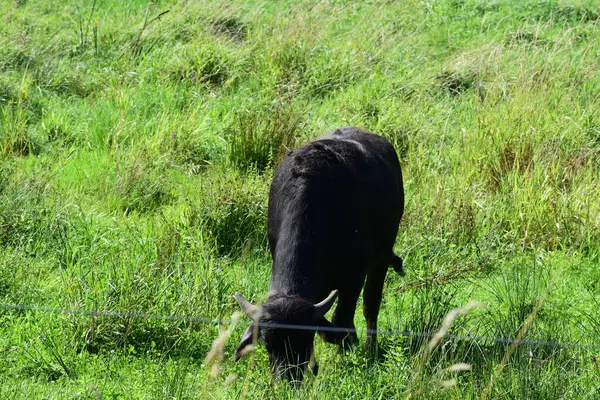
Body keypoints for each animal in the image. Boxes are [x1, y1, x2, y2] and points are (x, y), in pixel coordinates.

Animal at [233, 127, 404, 382]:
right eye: (268, 344)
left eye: (304, 340)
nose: (288, 379)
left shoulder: (353, 277)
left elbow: (342, 322)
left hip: (382, 256)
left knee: (371, 304)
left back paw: (370, 346)